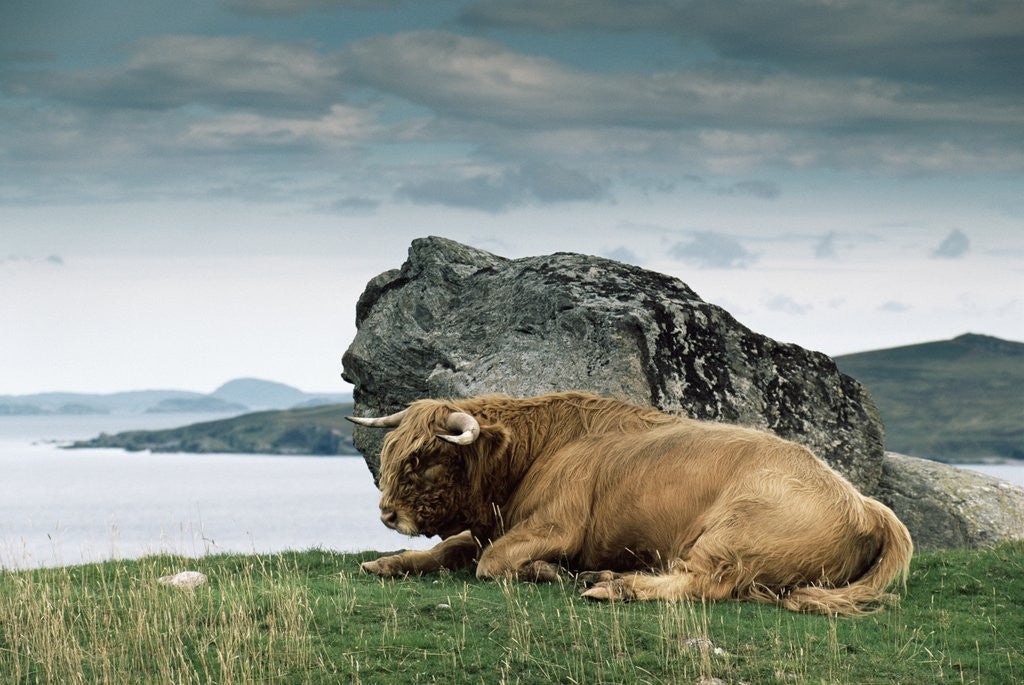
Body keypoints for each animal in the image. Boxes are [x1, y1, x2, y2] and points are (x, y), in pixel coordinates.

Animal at [347, 391, 912, 616]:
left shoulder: (555, 525)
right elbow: (451, 548)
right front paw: (387, 562)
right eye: (394, 450)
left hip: (734, 533)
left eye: (425, 458)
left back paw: (611, 586)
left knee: (703, 582)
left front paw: (548, 571)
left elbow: (490, 562)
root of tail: (863, 504)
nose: (387, 513)